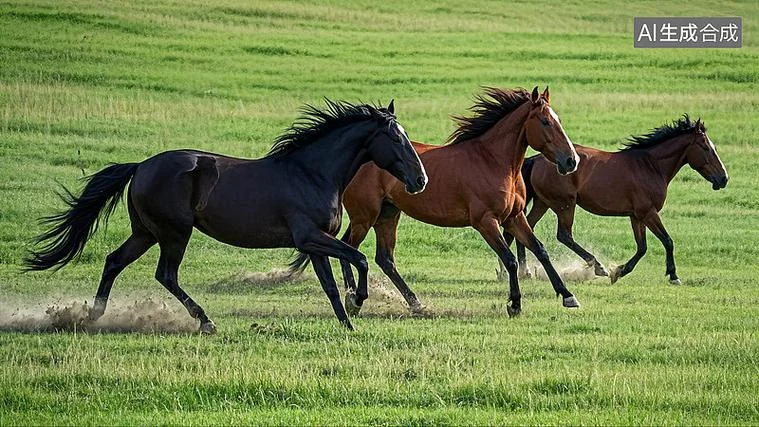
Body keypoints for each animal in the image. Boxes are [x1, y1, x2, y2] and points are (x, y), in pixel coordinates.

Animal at [25, 100, 428, 332]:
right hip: (174, 233)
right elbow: (360, 259)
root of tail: (140, 166)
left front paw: (346, 323)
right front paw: (357, 302)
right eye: (396, 138)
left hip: (146, 232)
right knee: (165, 274)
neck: (311, 173)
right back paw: (205, 321)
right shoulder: (310, 237)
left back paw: (92, 317)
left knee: (113, 261)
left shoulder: (315, 244)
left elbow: (329, 284)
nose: (420, 179)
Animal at [290, 86, 581, 317]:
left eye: (557, 119)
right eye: (545, 121)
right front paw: (515, 304)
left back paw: (414, 303)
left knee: (384, 258)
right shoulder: (485, 222)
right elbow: (509, 259)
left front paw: (568, 296)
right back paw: (354, 298)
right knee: (350, 247)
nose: (571, 161)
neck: (493, 163)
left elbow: (540, 250)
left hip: (388, 213)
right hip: (366, 215)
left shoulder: (514, 217)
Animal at [512, 115, 728, 285]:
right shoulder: (648, 213)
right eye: (706, 147)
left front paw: (619, 271)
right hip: (565, 205)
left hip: (544, 203)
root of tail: (536, 159)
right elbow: (667, 241)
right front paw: (673, 275)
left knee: (527, 228)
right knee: (564, 235)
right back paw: (598, 267)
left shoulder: (636, 216)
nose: (724, 178)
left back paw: (525, 271)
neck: (651, 166)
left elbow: (642, 248)